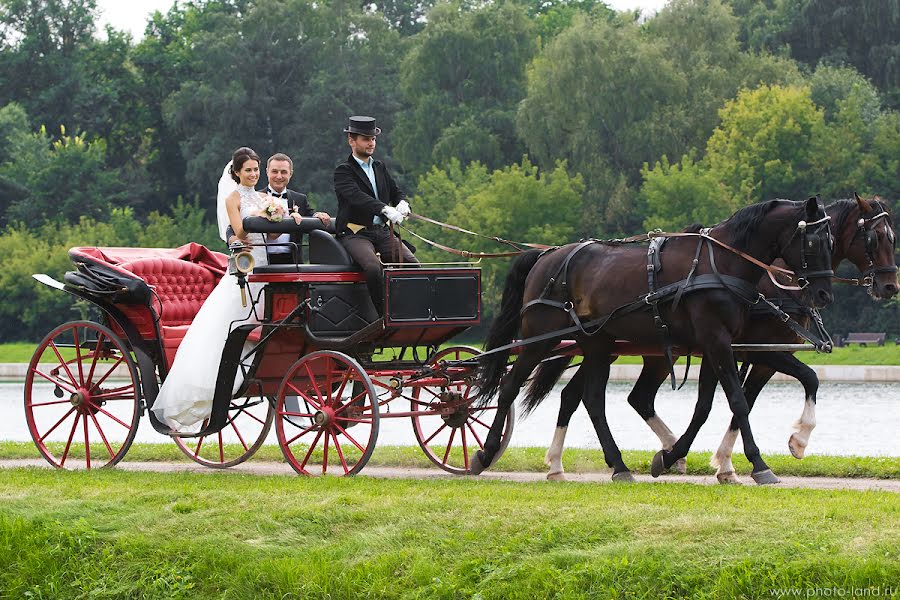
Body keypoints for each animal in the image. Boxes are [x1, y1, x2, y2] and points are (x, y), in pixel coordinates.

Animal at [474, 197, 832, 482]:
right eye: (814, 243)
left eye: (832, 242)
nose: (823, 295)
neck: (720, 263)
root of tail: (546, 255)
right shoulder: (717, 339)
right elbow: (738, 401)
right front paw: (759, 463)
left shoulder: (727, 345)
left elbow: (716, 404)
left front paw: (677, 456)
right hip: (540, 338)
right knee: (511, 387)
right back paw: (485, 453)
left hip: (598, 343)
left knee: (590, 398)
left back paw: (616, 465)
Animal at [536, 195, 896, 486]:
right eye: (875, 237)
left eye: (892, 238)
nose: (891, 286)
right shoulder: (756, 350)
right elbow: (757, 395)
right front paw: (787, 445)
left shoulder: (732, 350)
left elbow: (723, 404)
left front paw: (721, 463)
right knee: (594, 395)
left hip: (622, 349)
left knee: (594, 396)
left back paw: (565, 463)